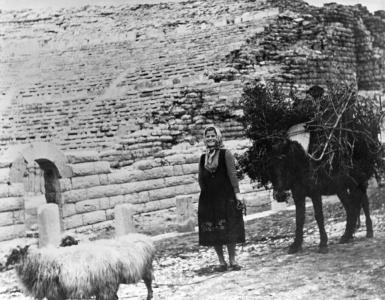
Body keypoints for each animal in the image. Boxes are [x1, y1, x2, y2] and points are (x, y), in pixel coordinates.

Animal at [5, 234, 154, 300]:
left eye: (14, 254)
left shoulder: (55, 292)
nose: (3, 265)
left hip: (141, 271)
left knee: (148, 283)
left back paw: (149, 296)